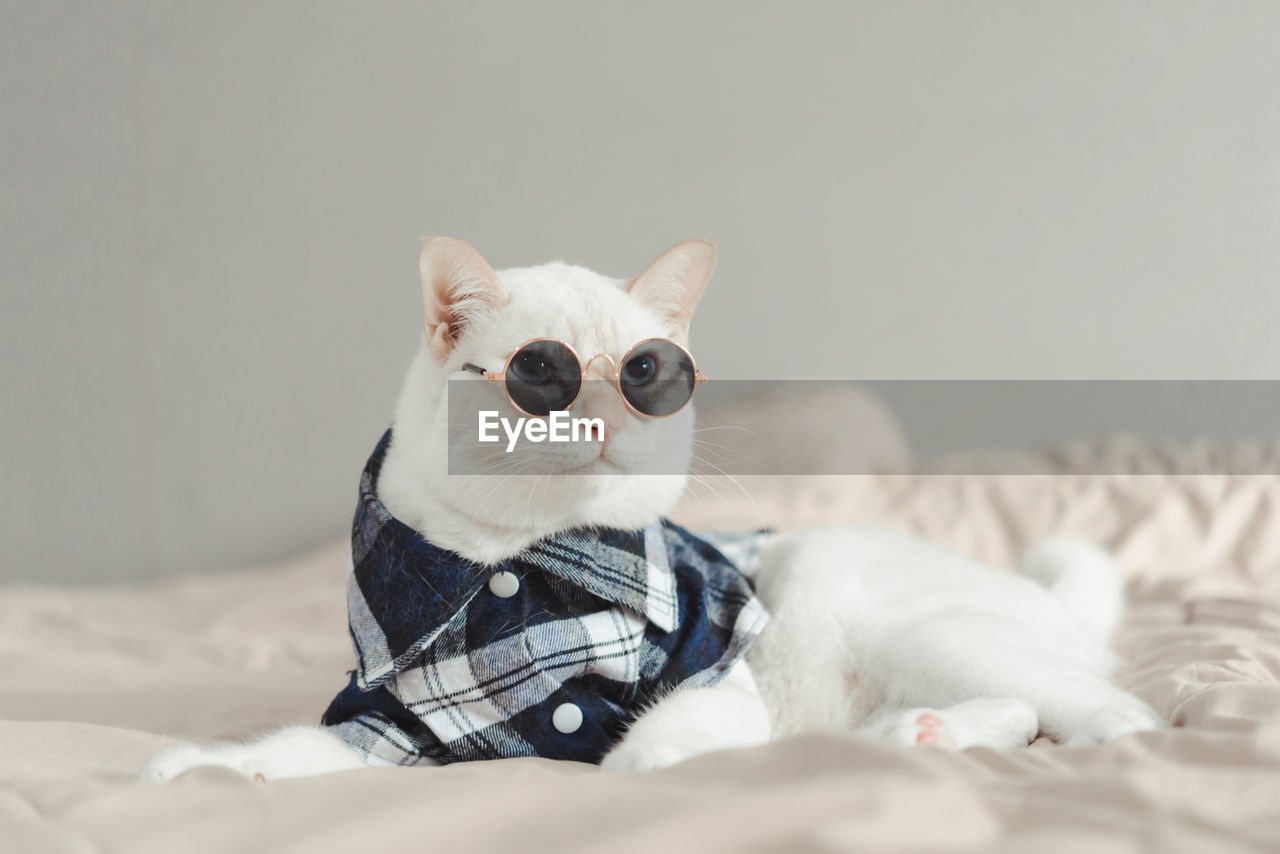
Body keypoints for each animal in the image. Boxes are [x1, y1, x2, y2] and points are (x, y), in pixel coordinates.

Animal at [145, 239, 1167, 783]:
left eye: (645, 373)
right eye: (541, 374)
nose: (603, 411)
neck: (520, 570)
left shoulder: (716, 661)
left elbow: (668, 735)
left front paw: (633, 771)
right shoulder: (395, 724)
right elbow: (305, 752)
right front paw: (209, 769)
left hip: (916, 631)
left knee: (1107, 714)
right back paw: (911, 736)